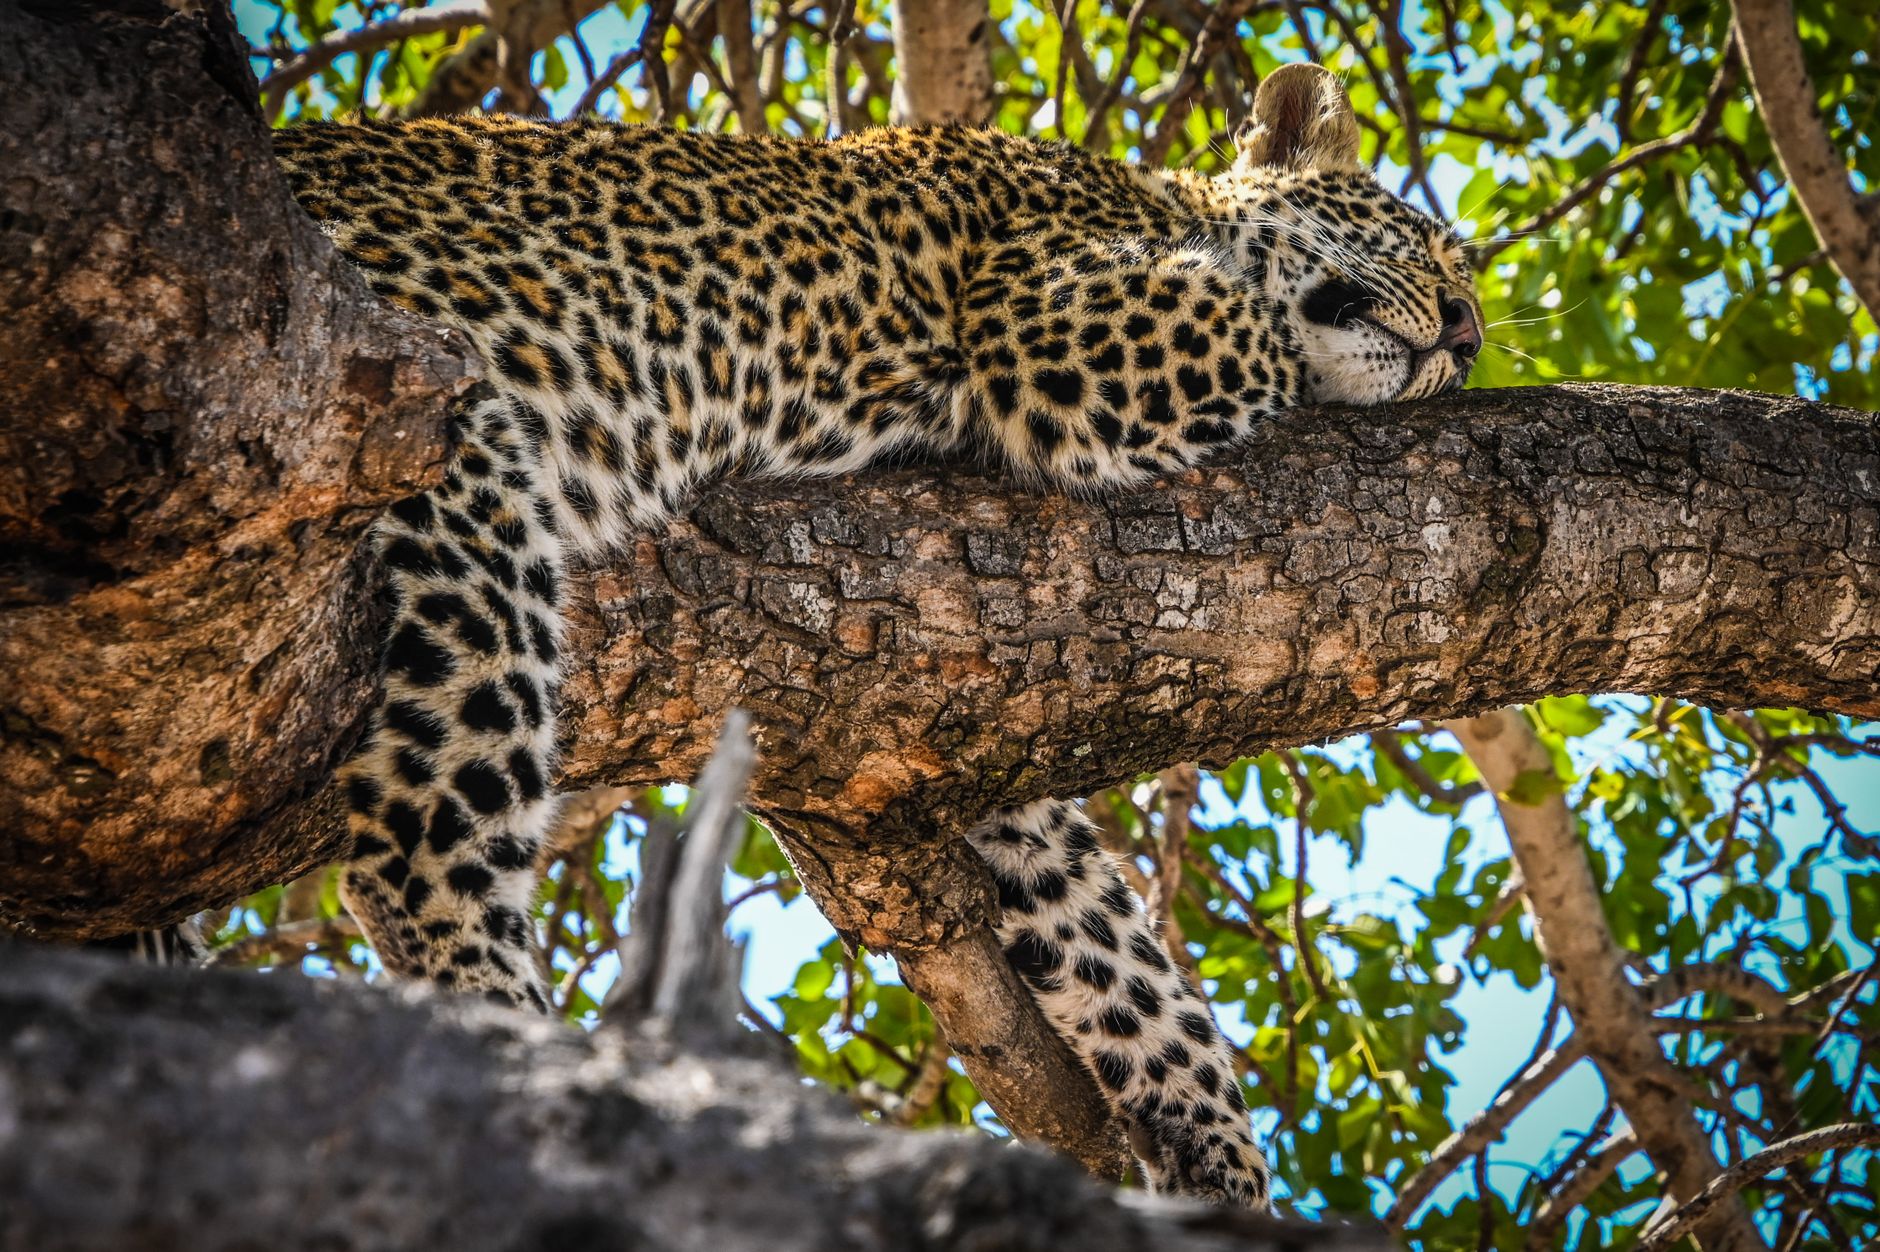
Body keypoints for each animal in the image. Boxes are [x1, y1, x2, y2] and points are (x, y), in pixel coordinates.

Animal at [272, 61, 1483, 1212]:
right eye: (1431, 247)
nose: (1467, 342)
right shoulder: (1062, 316)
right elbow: (1263, 325)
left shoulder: (953, 733)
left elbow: (1094, 910)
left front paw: (1212, 1134)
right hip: (455, 460)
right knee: (421, 850)